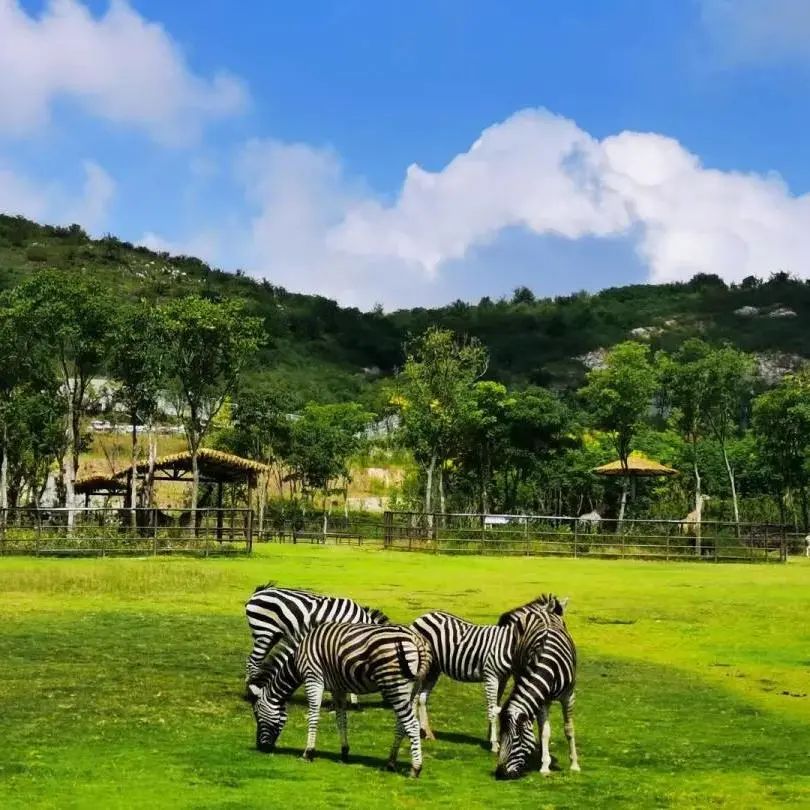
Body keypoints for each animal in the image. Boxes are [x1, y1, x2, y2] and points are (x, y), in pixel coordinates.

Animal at [246, 620, 432, 772]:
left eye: (257, 715)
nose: (261, 747)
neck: (297, 660)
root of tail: (415, 638)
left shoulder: (313, 678)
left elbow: (313, 716)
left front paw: (308, 753)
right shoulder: (338, 687)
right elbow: (341, 719)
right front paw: (344, 752)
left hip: (394, 684)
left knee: (411, 724)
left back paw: (416, 768)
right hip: (412, 688)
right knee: (402, 724)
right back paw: (391, 762)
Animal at [410, 612, 512, 752]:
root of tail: (422, 617)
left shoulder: (503, 678)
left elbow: (496, 707)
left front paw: (492, 738)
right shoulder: (491, 676)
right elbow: (492, 708)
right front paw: (494, 744)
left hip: (434, 669)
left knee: (421, 698)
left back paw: (427, 732)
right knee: (414, 697)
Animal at [490, 608, 576, 776]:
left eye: (517, 739)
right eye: (501, 735)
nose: (501, 772)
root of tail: (543, 610)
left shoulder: (568, 696)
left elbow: (569, 728)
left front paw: (574, 764)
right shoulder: (542, 700)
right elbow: (545, 732)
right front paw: (545, 765)